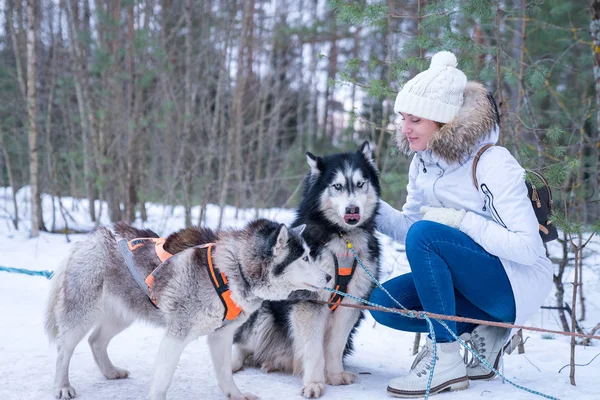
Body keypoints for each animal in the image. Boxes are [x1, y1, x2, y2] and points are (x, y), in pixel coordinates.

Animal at [44, 219, 330, 400]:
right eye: (305, 258)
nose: (329, 277)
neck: (233, 268)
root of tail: (91, 237)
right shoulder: (176, 335)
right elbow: (162, 381)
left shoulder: (220, 336)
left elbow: (225, 374)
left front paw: (236, 396)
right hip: (81, 314)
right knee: (63, 351)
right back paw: (62, 387)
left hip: (122, 315)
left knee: (96, 341)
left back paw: (110, 371)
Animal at [233, 142, 380, 398]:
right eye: (337, 186)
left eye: (361, 183)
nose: (352, 210)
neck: (342, 240)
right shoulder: (309, 302)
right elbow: (313, 349)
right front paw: (314, 383)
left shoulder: (350, 303)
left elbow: (334, 346)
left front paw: (334, 375)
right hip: (262, 311)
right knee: (241, 343)